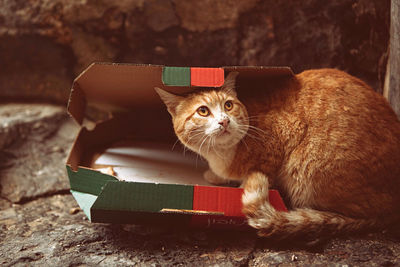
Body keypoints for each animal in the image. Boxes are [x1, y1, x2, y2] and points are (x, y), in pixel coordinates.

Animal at [155, 69, 400, 243]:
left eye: (228, 105)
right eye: (203, 111)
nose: (224, 121)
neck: (222, 155)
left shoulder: (283, 138)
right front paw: (215, 176)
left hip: (308, 172)